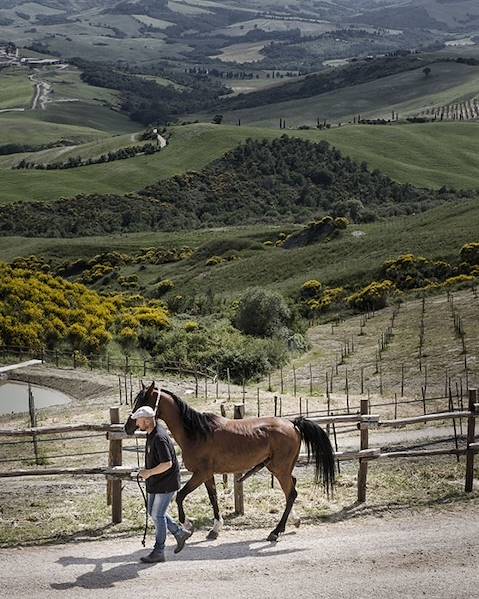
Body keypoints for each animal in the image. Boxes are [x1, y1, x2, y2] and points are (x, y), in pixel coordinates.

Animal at [125, 384, 336, 544]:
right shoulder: (207, 475)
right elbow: (213, 498)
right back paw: (294, 520)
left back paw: (275, 532)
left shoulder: (200, 474)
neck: (197, 433)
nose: (128, 427)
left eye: (143, 402)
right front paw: (215, 529)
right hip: (280, 468)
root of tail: (293, 423)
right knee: (292, 490)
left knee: (291, 493)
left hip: (279, 469)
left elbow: (180, 496)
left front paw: (187, 524)